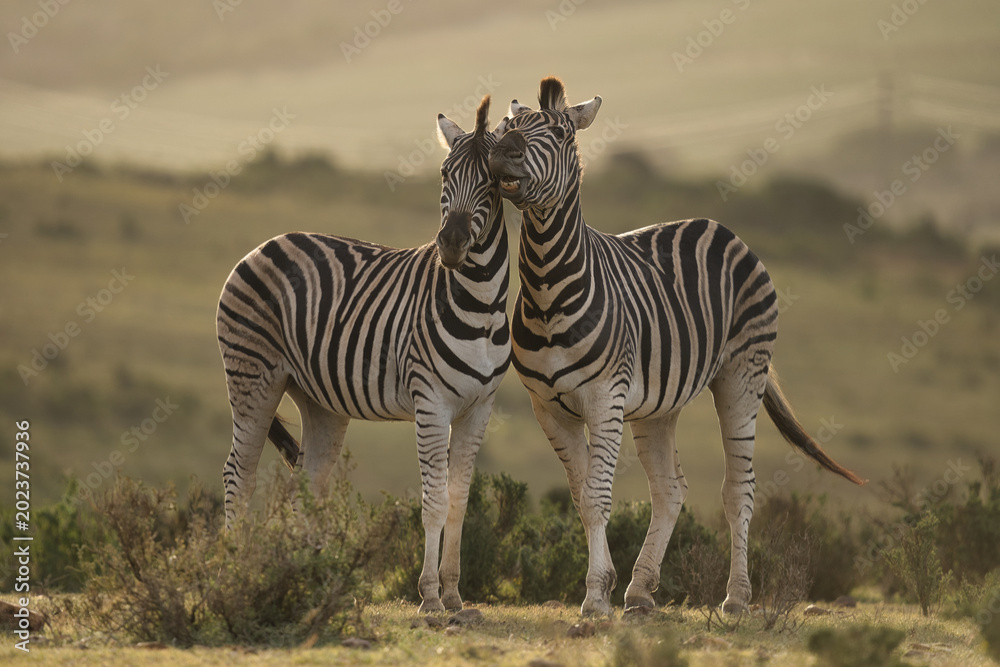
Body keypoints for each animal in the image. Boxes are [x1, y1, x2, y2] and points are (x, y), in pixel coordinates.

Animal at [216, 95, 511, 613]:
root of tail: (266, 243)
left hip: (319, 400)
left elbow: (459, 499)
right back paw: (232, 575)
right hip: (253, 376)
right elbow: (434, 500)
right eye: (444, 175)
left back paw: (309, 581)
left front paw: (455, 595)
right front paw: (429, 598)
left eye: (492, 182)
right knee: (240, 473)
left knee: (308, 482)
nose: (451, 245)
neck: (482, 305)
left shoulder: (480, 407)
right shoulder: (431, 402)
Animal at [486, 77, 864, 616]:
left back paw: (736, 597)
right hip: (657, 404)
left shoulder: (604, 399)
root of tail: (719, 227)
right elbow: (582, 498)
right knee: (670, 490)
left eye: (560, 134)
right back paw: (641, 591)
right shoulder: (549, 408)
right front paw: (606, 587)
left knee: (739, 489)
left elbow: (598, 496)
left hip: (741, 376)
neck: (546, 287)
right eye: (505, 127)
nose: (505, 154)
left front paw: (595, 596)